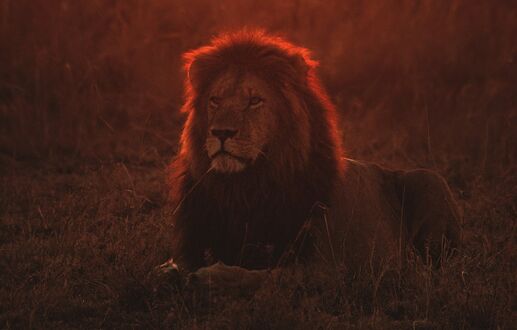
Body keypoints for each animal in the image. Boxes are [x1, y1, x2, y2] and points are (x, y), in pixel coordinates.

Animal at [161, 29, 460, 288]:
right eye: (215, 100)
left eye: (255, 101)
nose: (221, 132)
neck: (244, 188)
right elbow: (168, 269)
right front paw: (175, 273)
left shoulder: (327, 268)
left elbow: (263, 276)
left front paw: (211, 276)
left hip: (430, 180)